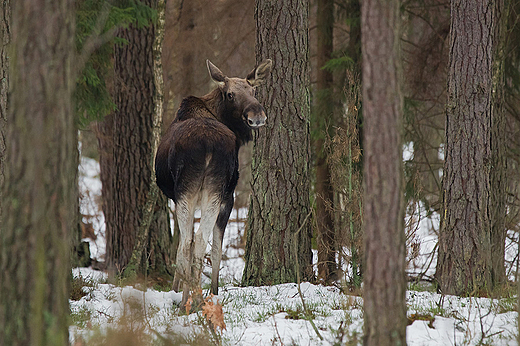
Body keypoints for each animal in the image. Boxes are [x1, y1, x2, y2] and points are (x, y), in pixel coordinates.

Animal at [155, 59, 272, 306]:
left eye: (254, 91)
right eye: (230, 94)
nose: (257, 115)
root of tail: (207, 145)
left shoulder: (182, 198)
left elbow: (189, 246)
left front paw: (178, 290)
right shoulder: (229, 197)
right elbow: (217, 248)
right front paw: (214, 291)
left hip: (191, 192)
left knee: (190, 242)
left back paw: (189, 299)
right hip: (210, 192)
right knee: (197, 241)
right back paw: (194, 299)